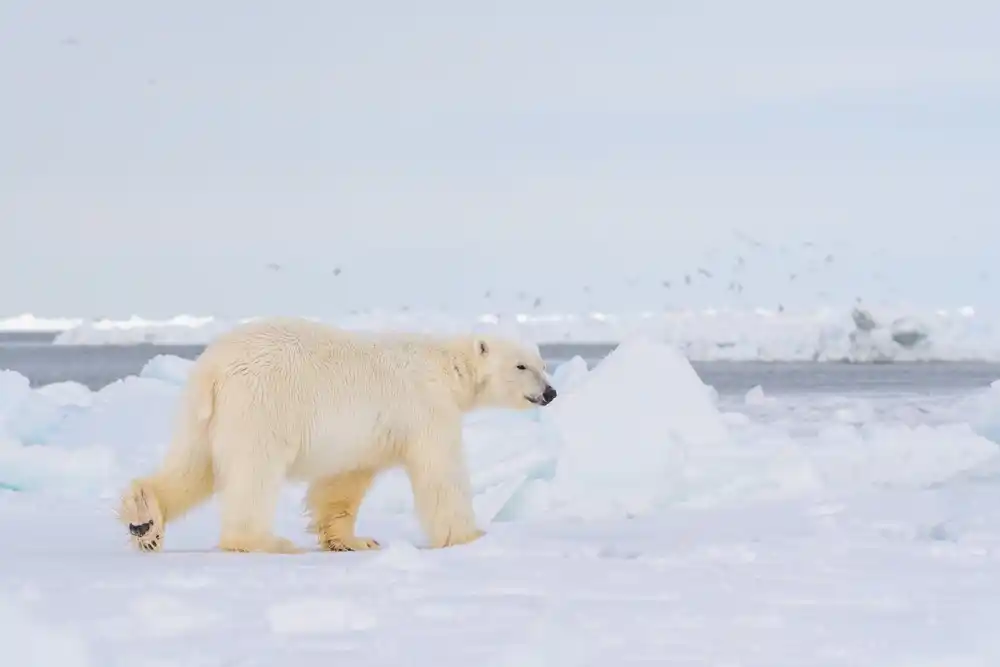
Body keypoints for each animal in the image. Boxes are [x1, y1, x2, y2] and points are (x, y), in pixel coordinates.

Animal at [115, 316, 564, 556]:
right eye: (522, 366)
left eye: (542, 363)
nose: (550, 392)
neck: (445, 367)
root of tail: (213, 366)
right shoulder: (425, 408)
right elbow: (440, 473)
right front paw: (471, 536)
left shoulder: (368, 433)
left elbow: (344, 480)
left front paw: (354, 540)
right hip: (261, 406)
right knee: (253, 473)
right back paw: (265, 541)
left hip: (204, 415)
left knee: (193, 466)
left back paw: (145, 521)